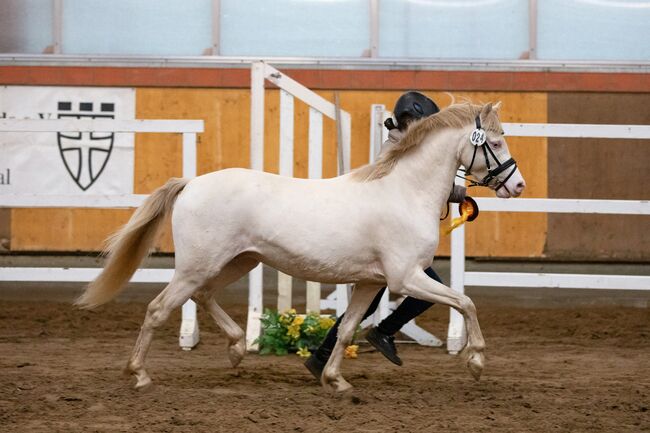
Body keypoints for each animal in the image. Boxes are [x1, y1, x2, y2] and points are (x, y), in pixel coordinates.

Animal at [76, 101, 520, 392]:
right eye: (496, 143)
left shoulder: (370, 283)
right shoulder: (406, 278)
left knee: (202, 297)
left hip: (238, 262)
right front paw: (476, 362)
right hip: (197, 266)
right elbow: (465, 302)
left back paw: (237, 349)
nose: (517, 185)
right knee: (158, 310)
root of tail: (191, 183)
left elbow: (347, 329)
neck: (404, 191)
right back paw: (139, 375)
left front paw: (335, 381)